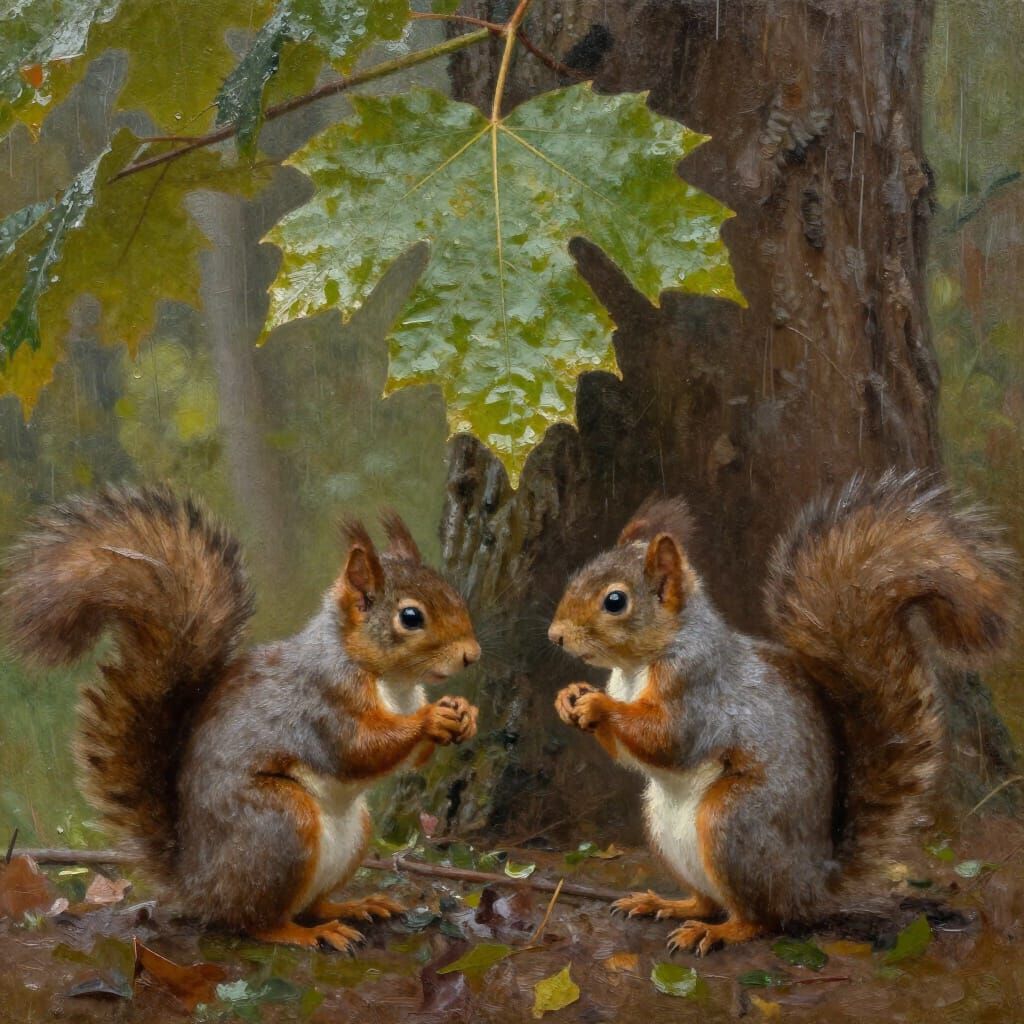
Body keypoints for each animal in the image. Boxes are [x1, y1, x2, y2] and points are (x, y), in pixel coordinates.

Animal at [2, 485, 482, 951]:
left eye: (455, 594)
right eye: (411, 617)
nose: (471, 655)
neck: (390, 681)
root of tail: (197, 884)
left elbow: (413, 760)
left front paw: (464, 712)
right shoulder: (321, 702)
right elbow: (355, 750)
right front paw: (430, 718)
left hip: (349, 834)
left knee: (310, 904)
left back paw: (351, 906)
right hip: (279, 825)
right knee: (254, 922)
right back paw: (303, 933)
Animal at [548, 471, 1017, 956]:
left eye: (615, 601)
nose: (555, 635)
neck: (639, 666)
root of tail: (813, 886)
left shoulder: (700, 688)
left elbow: (670, 740)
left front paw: (597, 704)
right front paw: (569, 696)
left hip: (734, 822)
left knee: (761, 919)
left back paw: (717, 931)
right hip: (665, 828)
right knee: (708, 902)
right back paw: (667, 904)